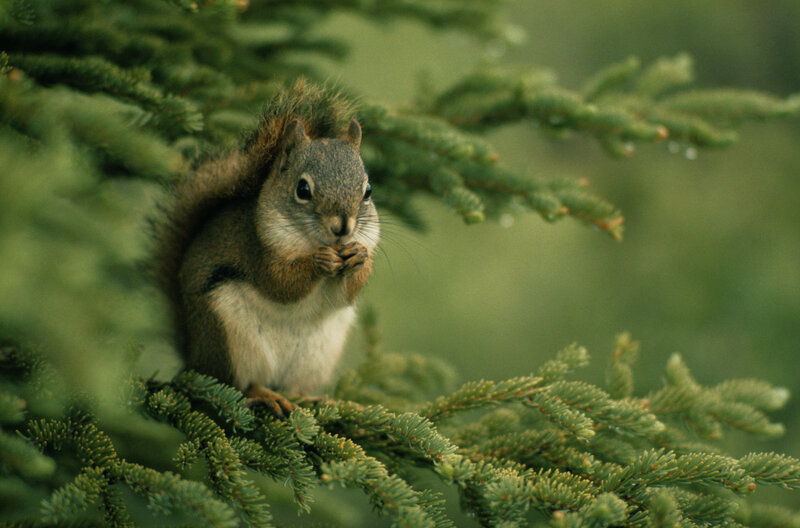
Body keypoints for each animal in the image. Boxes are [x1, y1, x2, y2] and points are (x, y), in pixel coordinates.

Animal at [152, 81, 379, 416]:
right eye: (302, 189)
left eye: (368, 191)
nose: (342, 228)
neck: (314, 240)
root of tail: (195, 357)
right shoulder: (256, 250)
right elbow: (279, 284)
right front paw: (318, 261)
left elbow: (345, 294)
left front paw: (360, 257)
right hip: (230, 338)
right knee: (237, 384)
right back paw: (265, 394)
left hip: (317, 356)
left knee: (293, 387)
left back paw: (313, 398)